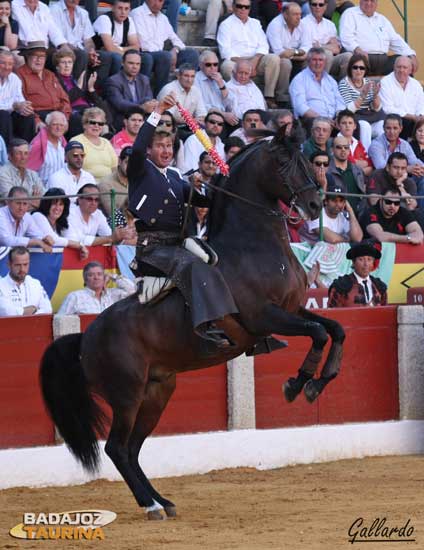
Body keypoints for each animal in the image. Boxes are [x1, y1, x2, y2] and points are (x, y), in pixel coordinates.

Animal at [39, 127, 344, 520]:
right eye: (281, 161)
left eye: (307, 159)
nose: (314, 205)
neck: (253, 247)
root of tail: (83, 338)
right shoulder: (264, 316)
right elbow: (319, 333)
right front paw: (297, 384)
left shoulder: (294, 309)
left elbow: (335, 330)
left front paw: (317, 383)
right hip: (127, 394)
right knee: (117, 448)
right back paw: (151, 504)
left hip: (158, 391)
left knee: (133, 449)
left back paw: (162, 501)